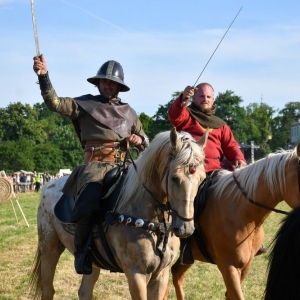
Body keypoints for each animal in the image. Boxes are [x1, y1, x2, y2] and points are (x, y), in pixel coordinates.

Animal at [28, 129, 206, 300]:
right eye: (175, 177)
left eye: (202, 179)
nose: (185, 228)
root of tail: (49, 185)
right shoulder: (136, 274)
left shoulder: (161, 275)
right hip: (49, 248)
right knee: (48, 291)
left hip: (92, 262)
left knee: (84, 292)